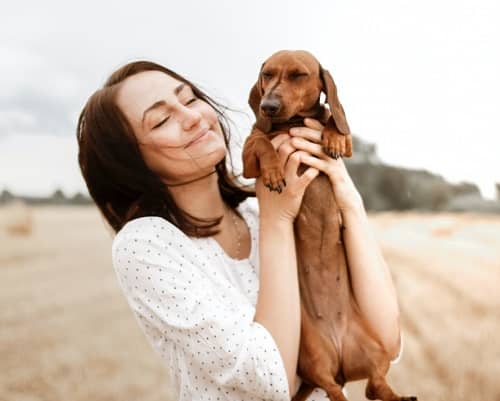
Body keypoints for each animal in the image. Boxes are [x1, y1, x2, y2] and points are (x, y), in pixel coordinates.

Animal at [240, 50, 416, 400]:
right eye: (267, 74)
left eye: (298, 75)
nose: (268, 106)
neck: (291, 123)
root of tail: (340, 357)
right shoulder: (247, 159)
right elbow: (263, 144)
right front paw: (274, 171)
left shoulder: (347, 145)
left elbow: (336, 124)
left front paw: (332, 136)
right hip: (314, 356)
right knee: (338, 389)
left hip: (376, 352)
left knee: (375, 386)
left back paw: (400, 396)